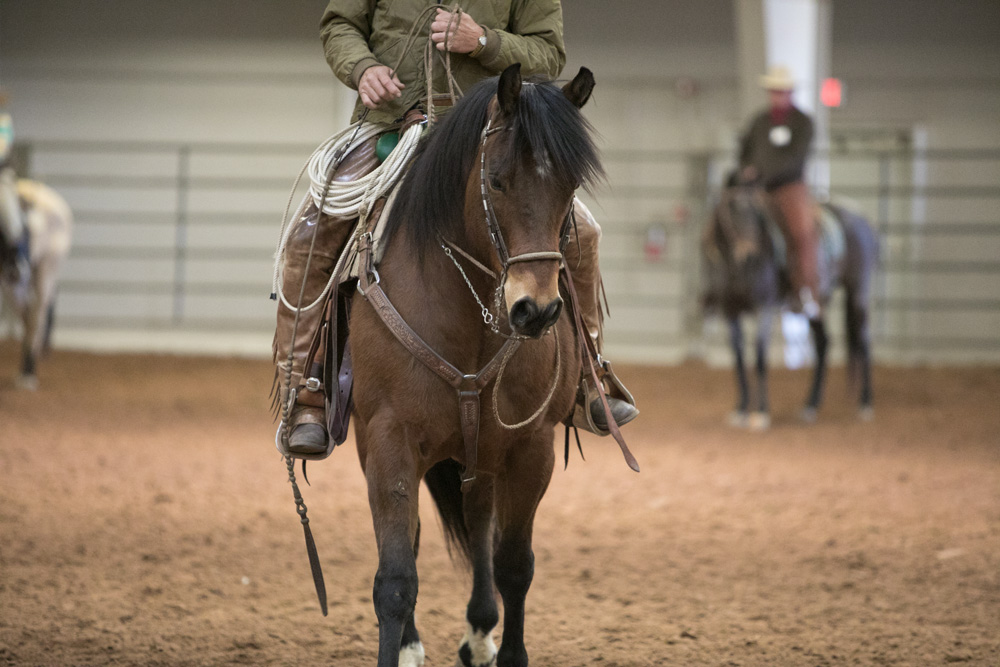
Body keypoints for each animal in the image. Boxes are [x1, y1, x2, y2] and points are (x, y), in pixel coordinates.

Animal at [0, 176, 72, 392]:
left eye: (24, 231)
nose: (15, 270)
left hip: (45, 271)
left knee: (36, 315)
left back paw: (29, 372)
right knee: (29, 314)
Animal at [700, 180, 880, 428]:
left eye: (756, 214)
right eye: (730, 213)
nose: (748, 255)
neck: (741, 270)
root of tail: (864, 221)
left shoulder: (764, 307)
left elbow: (760, 355)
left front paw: (761, 412)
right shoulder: (730, 311)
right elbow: (738, 358)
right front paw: (741, 408)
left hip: (857, 292)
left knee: (863, 340)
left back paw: (865, 402)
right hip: (817, 303)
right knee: (823, 343)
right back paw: (811, 405)